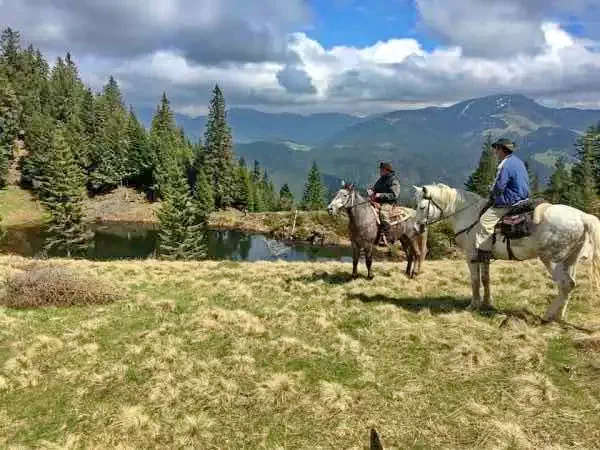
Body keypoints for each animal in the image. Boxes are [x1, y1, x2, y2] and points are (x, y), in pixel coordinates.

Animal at [412, 181, 600, 322]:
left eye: (422, 207)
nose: (416, 227)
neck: (468, 214)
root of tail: (583, 217)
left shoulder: (472, 256)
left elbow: (475, 280)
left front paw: (473, 305)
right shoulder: (484, 257)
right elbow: (486, 279)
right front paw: (487, 303)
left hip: (552, 260)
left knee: (564, 284)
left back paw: (547, 316)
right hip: (571, 260)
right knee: (570, 284)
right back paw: (559, 316)